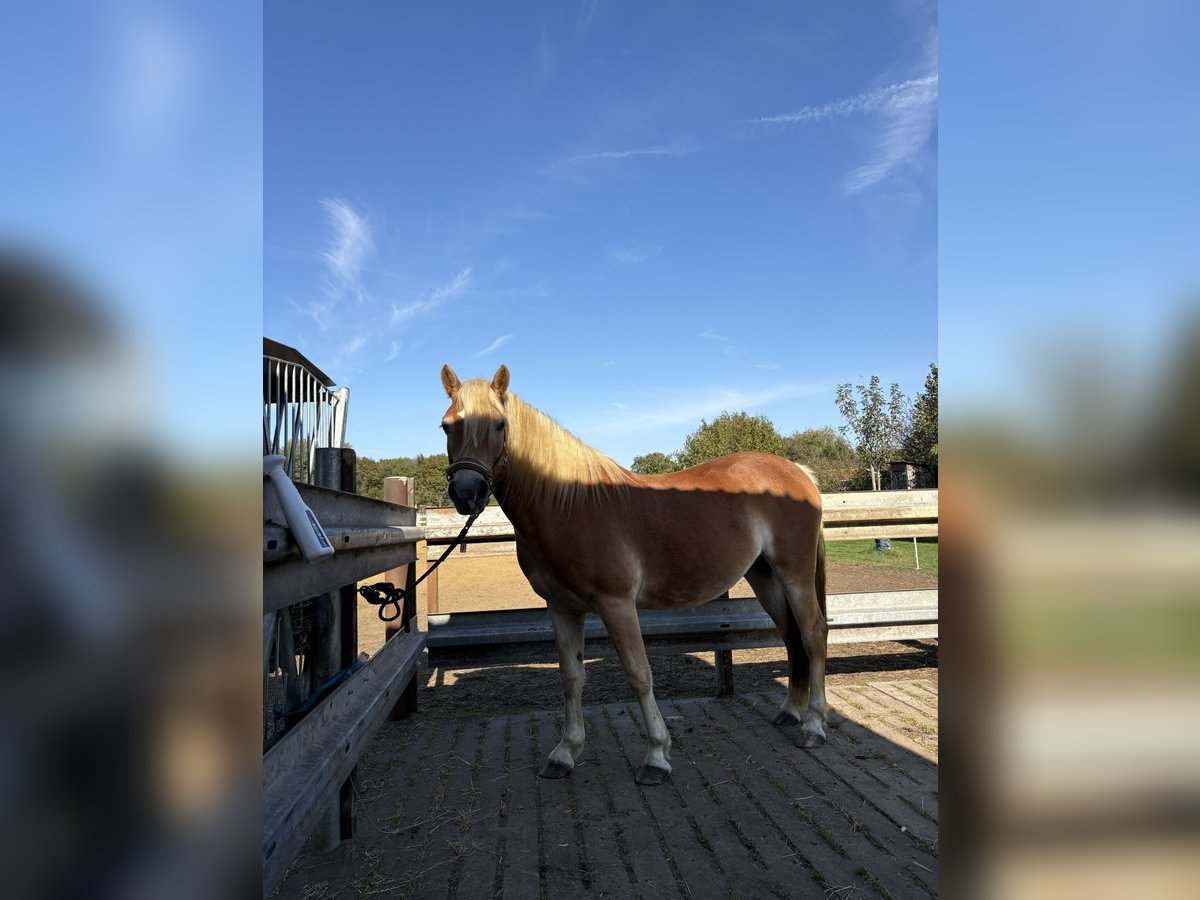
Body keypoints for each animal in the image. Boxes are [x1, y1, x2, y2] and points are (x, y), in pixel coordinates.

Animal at [439, 364, 828, 785]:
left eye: (498, 424)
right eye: (446, 426)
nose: (467, 492)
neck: (569, 506)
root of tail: (797, 472)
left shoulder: (617, 604)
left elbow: (639, 674)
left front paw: (656, 756)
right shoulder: (561, 608)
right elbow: (571, 677)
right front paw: (564, 753)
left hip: (795, 573)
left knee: (813, 634)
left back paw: (814, 726)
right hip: (764, 576)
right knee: (791, 636)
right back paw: (790, 712)